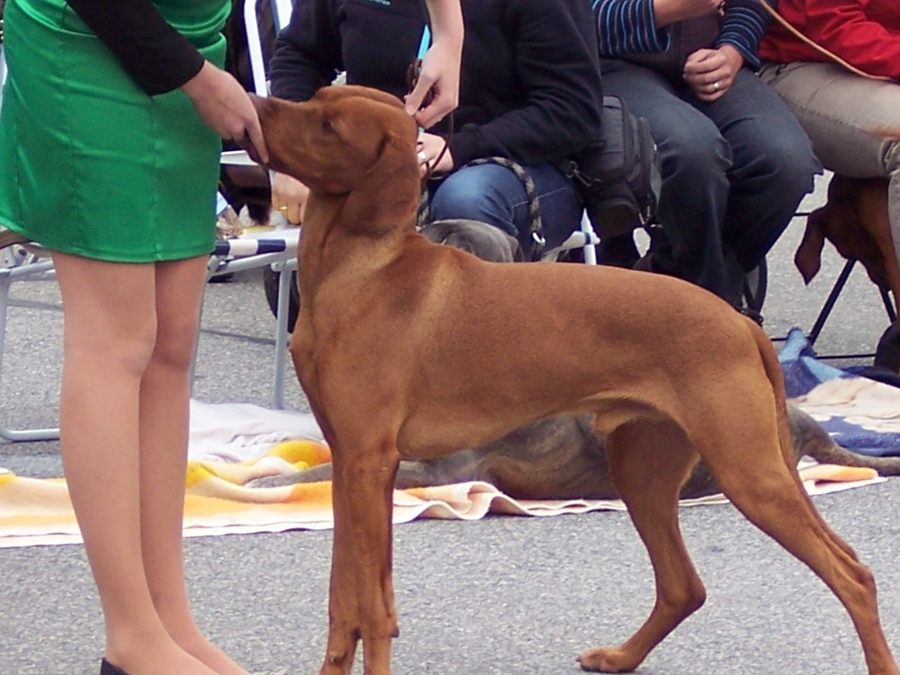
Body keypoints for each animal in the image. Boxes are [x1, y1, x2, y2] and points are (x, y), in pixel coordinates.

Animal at [254, 85, 898, 675]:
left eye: (331, 126)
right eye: (317, 96)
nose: (256, 107)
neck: (363, 272)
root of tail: (740, 322)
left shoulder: (373, 463)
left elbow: (371, 607)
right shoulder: (350, 461)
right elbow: (345, 603)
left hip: (749, 473)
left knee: (854, 574)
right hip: (643, 468)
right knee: (684, 586)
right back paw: (620, 656)